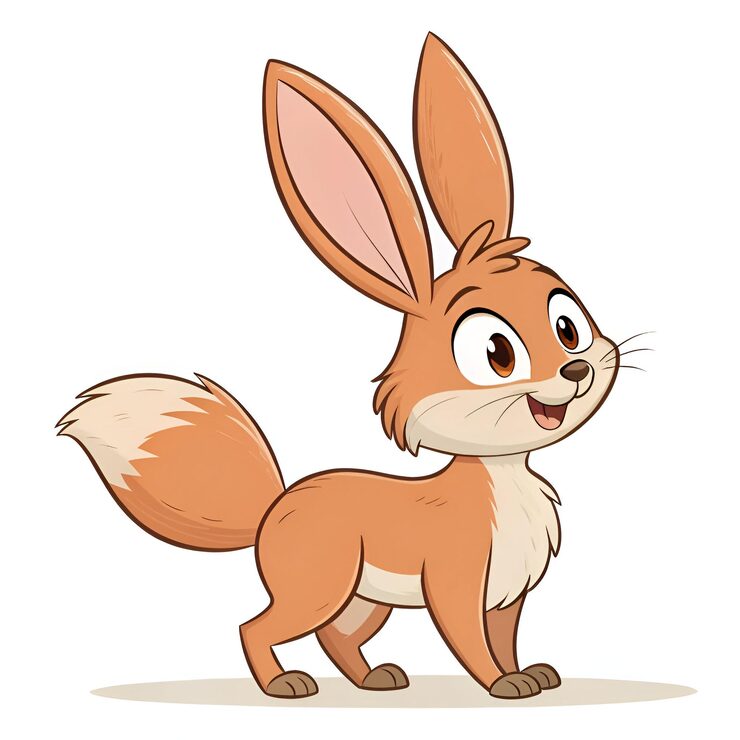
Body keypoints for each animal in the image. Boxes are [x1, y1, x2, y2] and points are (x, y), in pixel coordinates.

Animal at [58, 33, 632, 700]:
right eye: (497, 352)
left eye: (567, 327)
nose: (576, 371)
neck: (503, 479)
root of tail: (272, 508)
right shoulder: (457, 581)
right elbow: (470, 641)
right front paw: (501, 686)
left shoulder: (507, 591)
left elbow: (505, 636)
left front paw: (528, 674)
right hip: (320, 584)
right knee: (257, 626)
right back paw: (283, 686)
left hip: (363, 599)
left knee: (337, 636)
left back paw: (374, 679)